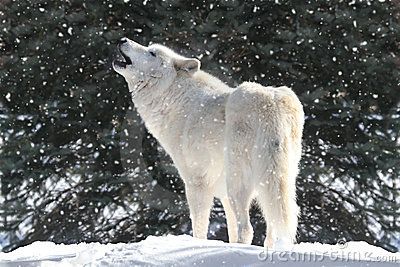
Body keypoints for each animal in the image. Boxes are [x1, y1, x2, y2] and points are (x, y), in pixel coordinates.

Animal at [114, 37, 304, 249]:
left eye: (152, 53)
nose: (123, 39)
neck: (176, 100)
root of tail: (270, 102)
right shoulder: (223, 195)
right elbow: (231, 230)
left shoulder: (196, 182)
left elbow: (199, 227)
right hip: (272, 184)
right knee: (272, 228)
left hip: (238, 183)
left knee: (248, 229)